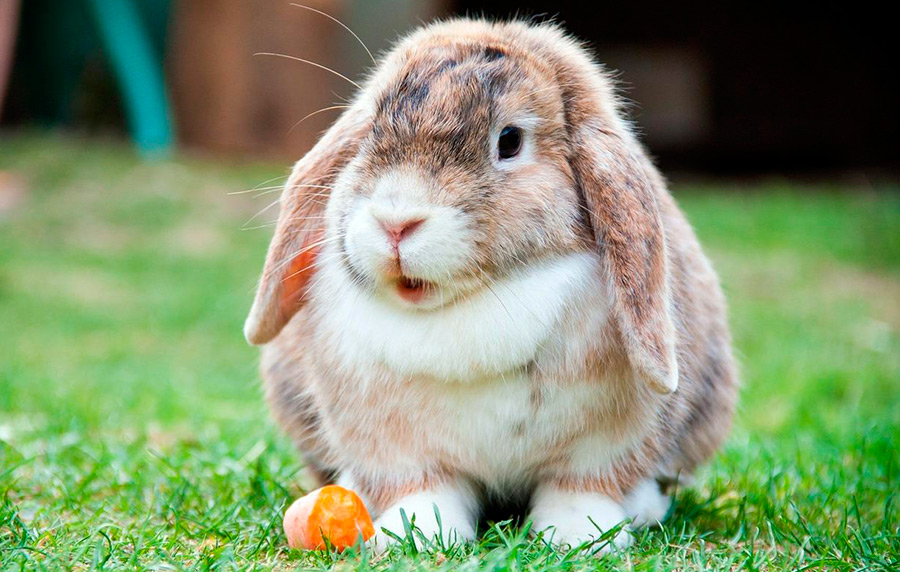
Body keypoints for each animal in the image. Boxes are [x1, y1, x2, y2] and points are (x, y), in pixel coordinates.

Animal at [244, 18, 738, 553]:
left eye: (510, 141)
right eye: (372, 128)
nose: (396, 222)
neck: (471, 304)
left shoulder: (603, 446)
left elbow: (580, 488)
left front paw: (580, 537)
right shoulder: (396, 448)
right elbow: (423, 489)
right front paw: (416, 535)